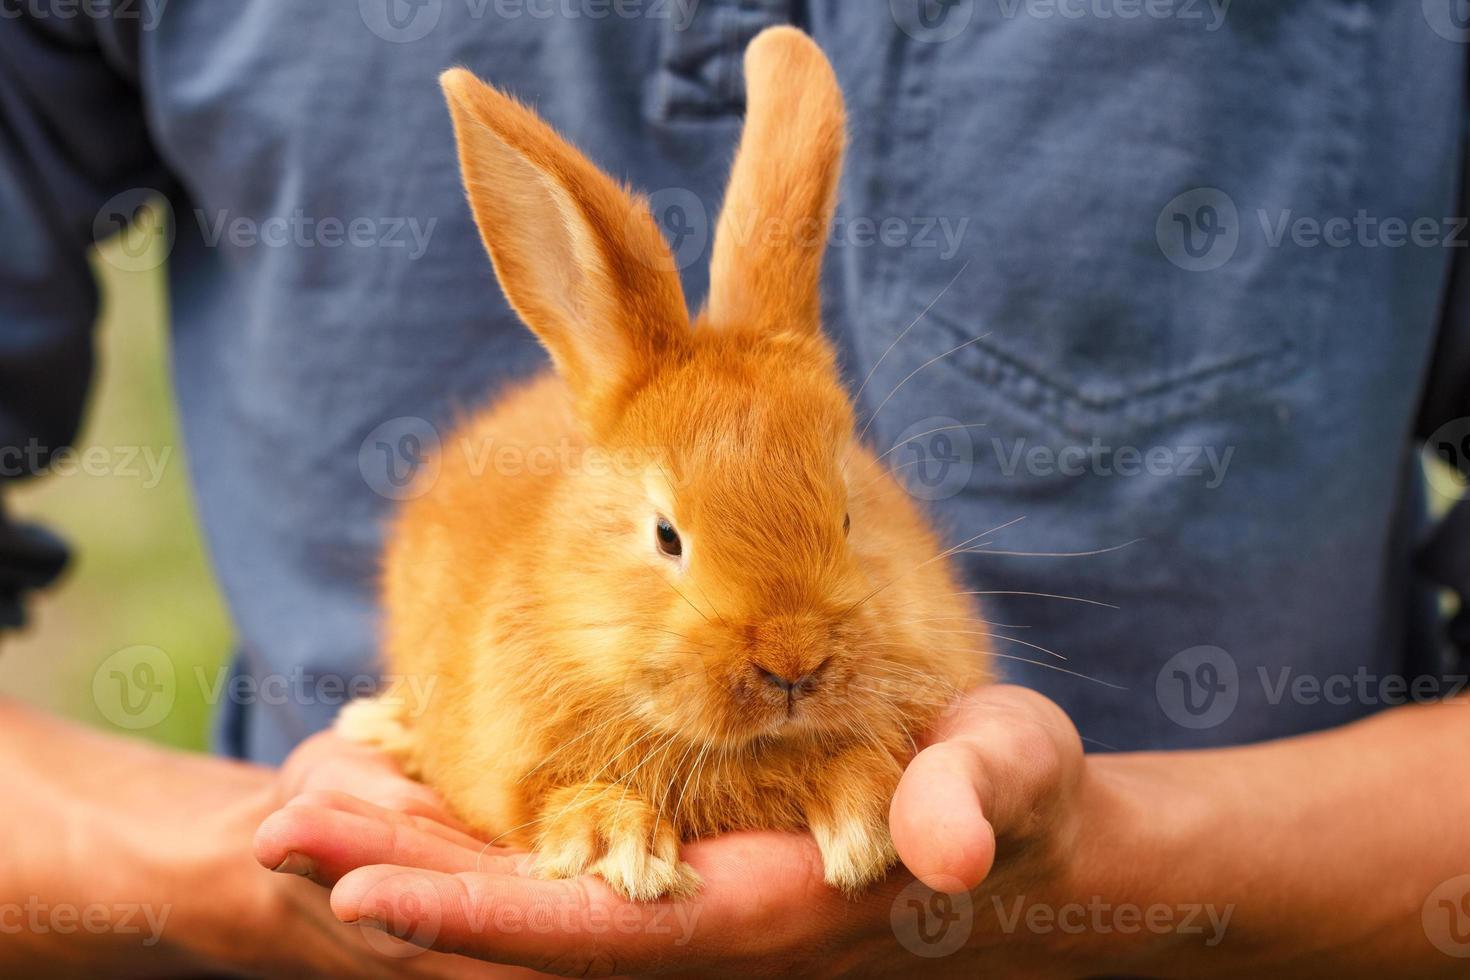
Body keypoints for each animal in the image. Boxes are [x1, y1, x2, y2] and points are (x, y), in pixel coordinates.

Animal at [336, 24, 987, 905]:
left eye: (850, 516)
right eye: (666, 536)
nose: (793, 660)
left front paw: (867, 826)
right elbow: (558, 797)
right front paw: (618, 846)